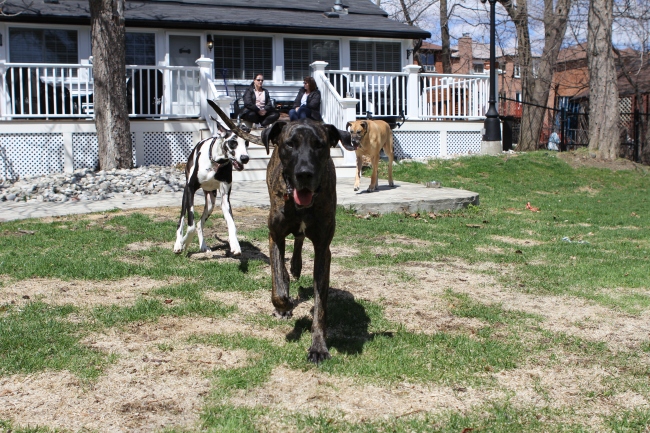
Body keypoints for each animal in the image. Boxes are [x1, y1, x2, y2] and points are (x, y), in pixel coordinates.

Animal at [173, 122, 249, 255]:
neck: (216, 162)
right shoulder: (190, 189)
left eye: (247, 143)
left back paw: (203, 246)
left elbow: (232, 224)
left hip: (210, 204)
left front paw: (235, 244)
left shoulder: (225, 199)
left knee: (200, 223)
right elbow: (191, 225)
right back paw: (178, 244)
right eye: (233, 142)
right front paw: (184, 242)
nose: (245, 158)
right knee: (181, 222)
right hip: (185, 197)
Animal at [261, 119, 355, 363]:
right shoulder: (275, 236)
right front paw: (283, 304)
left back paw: (296, 265)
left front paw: (318, 347)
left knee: (299, 239)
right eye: (290, 144)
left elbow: (320, 306)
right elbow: (277, 284)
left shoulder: (323, 249)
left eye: (319, 145)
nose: (305, 173)